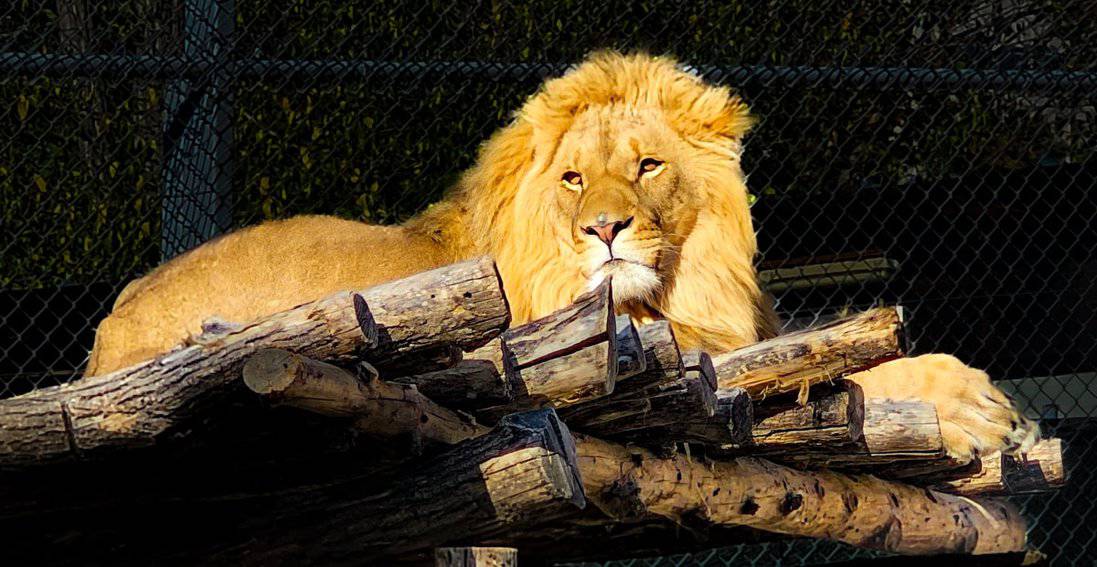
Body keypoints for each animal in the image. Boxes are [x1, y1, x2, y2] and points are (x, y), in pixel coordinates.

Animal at [87, 51, 1037, 461]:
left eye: (647, 166)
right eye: (575, 178)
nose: (605, 230)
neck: (676, 287)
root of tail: (107, 327)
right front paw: (972, 404)